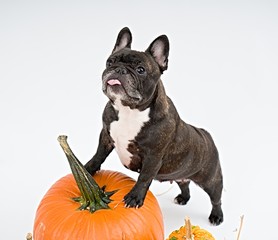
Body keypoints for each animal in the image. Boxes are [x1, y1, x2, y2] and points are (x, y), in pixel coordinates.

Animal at [84, 27, 224, 225]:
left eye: (141, 70)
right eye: (109, 62)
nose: (118, 69)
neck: (130, 110)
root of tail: (206, 134)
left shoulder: (153, 156)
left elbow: (144, 177)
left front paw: (134, 197)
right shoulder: (106, 135)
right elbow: (98, 155)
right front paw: (87, 169)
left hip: (211, 179)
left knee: (216, 198)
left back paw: (216, 216)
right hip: (180, 174)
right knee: (185, 184)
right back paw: (183, 198)